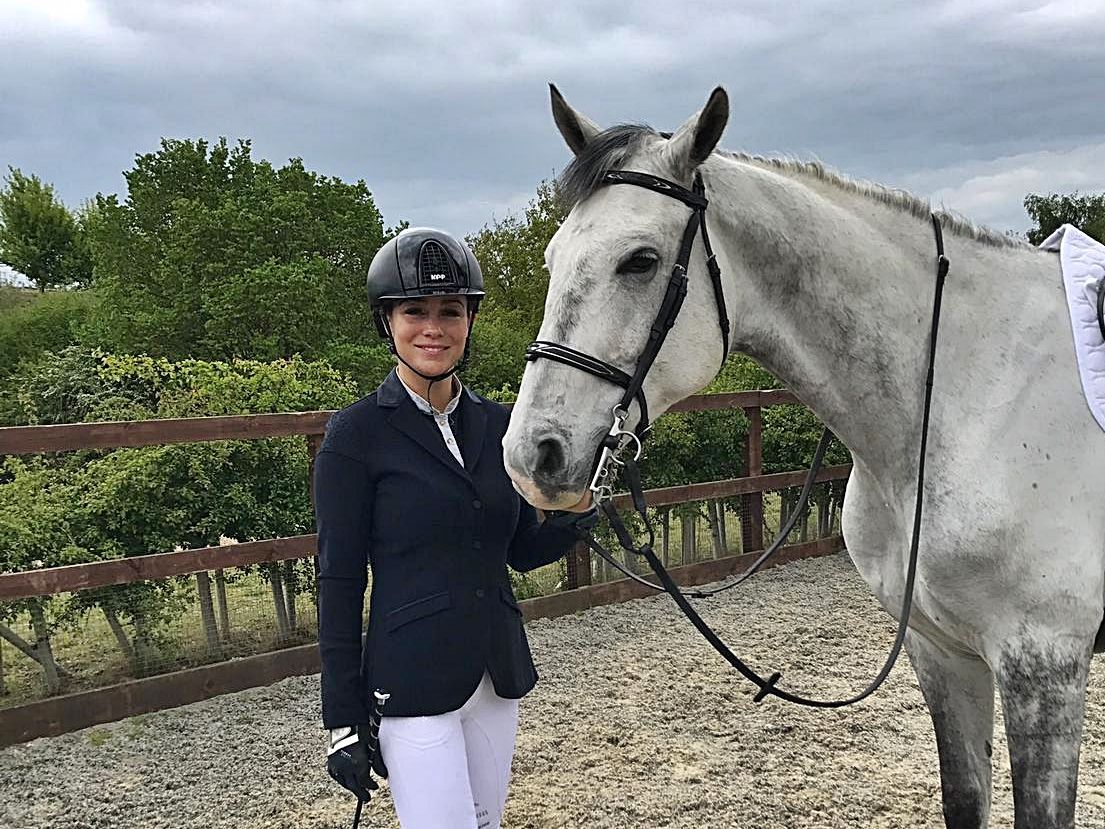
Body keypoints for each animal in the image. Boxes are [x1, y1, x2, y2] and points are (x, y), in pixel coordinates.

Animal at [501, 85, 1105, 828]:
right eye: (553, 257)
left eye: (639, 260)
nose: (532, 454)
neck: (969, 396)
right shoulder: (944, 653)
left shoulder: (1043, 665)